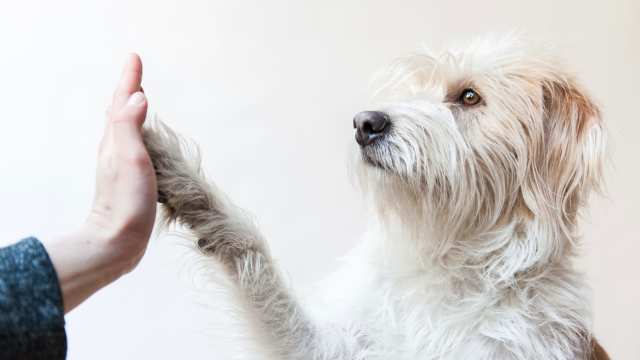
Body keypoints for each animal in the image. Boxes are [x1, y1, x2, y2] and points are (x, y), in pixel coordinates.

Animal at [142, 37, 608, 360]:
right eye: (414, 89)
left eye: (469, 96)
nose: (364, 123)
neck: (448, 260)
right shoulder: (330, 345)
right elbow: (257, 268)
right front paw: (184, 182)